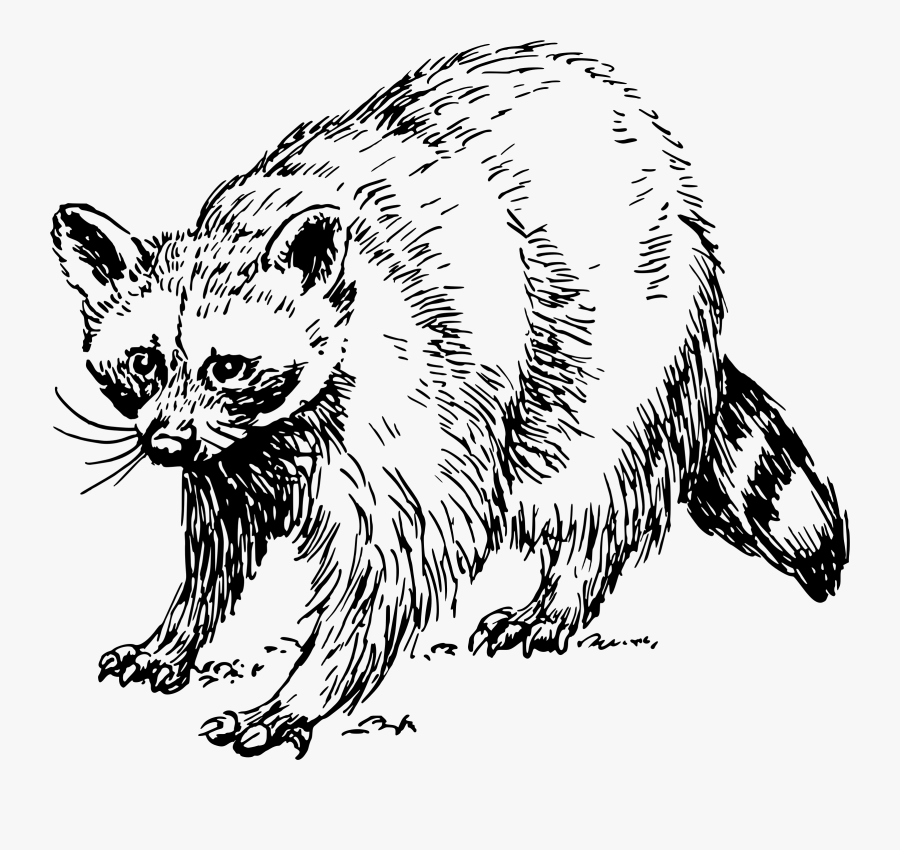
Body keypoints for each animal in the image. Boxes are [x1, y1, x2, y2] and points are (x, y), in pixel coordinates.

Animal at [51, 42, 848, 759]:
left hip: (605, 349)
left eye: (229, 367)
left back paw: (564, 592)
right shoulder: (233, 454)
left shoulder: (407, 403)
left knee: (590, 484)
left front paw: (299, 693)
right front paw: (181, 630)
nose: (166, 445)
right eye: (144, 362)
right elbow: (218, 540)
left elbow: (388, 563)